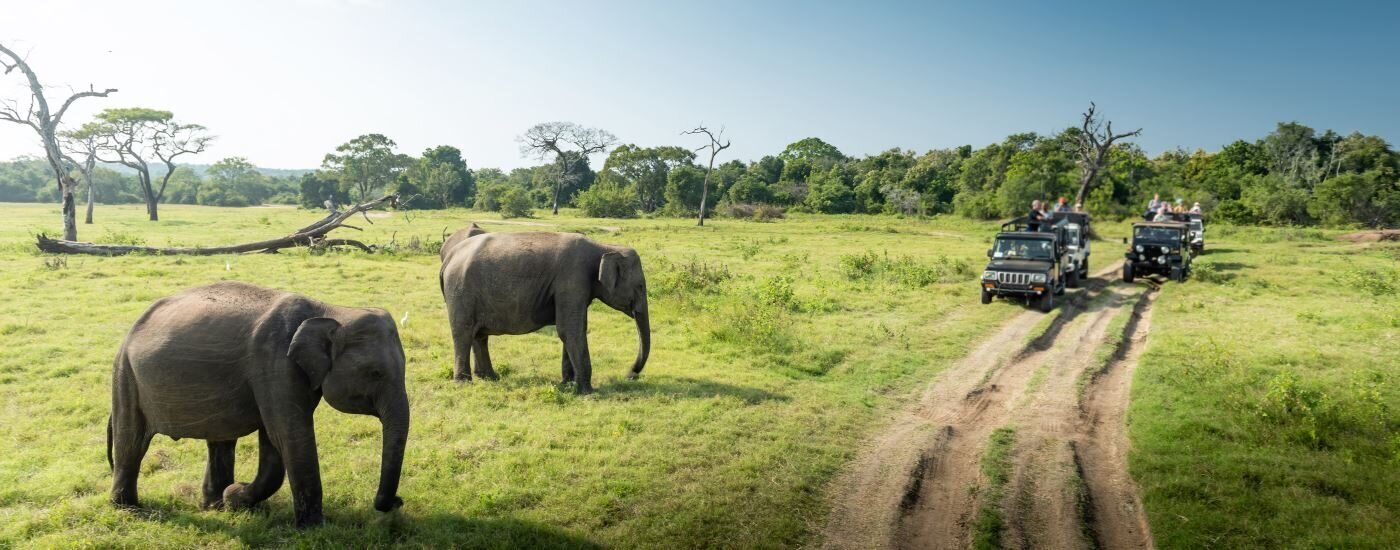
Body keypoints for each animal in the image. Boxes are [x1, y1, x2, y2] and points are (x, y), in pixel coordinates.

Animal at [107, 281, 408, 526]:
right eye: (375, 373)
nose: (397, 502)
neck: (331, 310)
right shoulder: (275, 363)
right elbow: (288, 435)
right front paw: (313, 528)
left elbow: (274, 440)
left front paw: (234, 499)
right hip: (126, 375)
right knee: (131, 441)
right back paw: (130, 510)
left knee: (220, 440)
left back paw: (213, 505)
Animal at [439, 226, 652, 394]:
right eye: (641, 286)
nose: (630, 374)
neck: (604, 247)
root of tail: (449, 257)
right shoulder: (572, 279)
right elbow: (570, 330)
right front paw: (587, 391)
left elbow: (572, 329)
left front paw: (567, 384)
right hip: (460, 290)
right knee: (463, 333)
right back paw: (464, 383)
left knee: (479, 335)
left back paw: (490, 377)